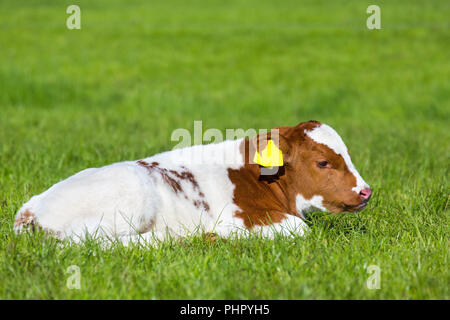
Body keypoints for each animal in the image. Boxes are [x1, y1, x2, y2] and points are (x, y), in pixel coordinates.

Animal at [14, 121, 372, 244]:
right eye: (323, 162)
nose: (366, 191)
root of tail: (30, 209)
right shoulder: (244, 217)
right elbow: (300, 228)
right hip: (132, 200)